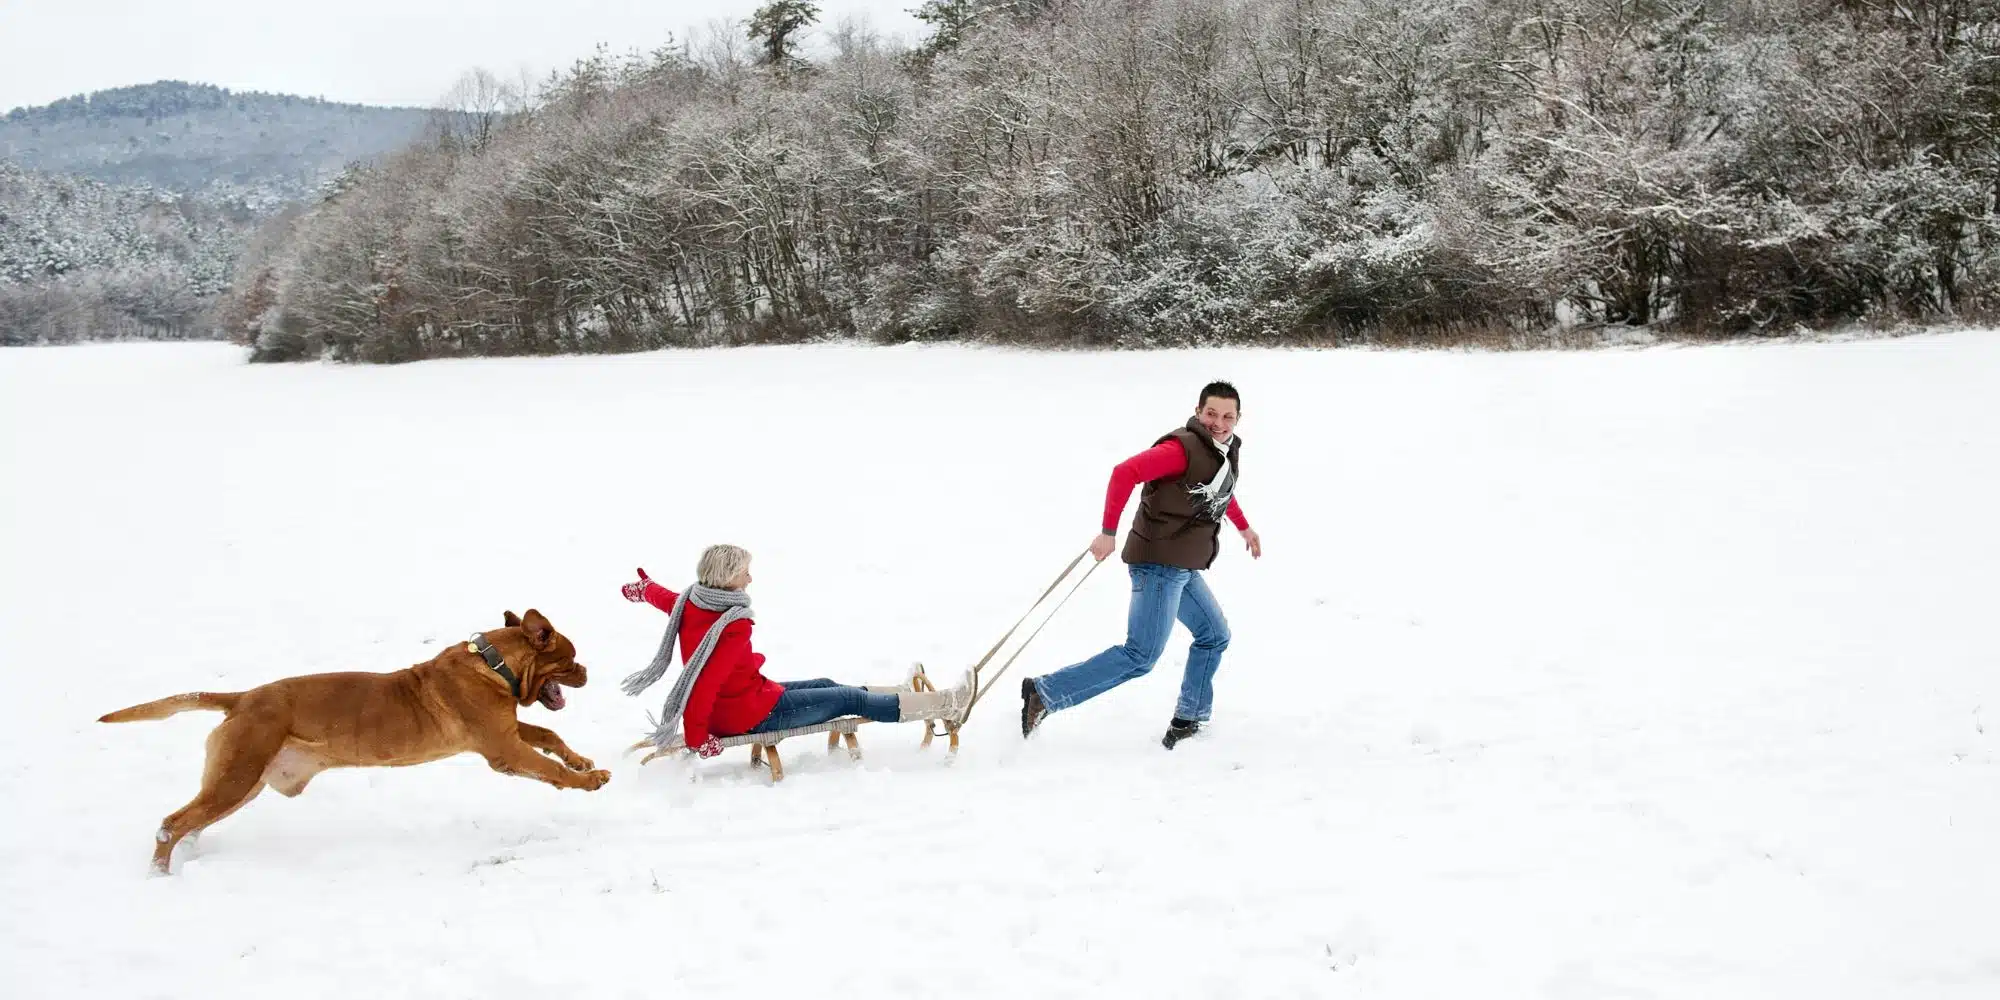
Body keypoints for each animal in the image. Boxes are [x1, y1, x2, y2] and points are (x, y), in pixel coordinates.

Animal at [97, 604, 608, 872]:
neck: (494, 664)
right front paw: (589, 779)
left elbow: (549, 733)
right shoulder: (503, 749)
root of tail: (241, 698)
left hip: (240, 783)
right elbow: (547, 766)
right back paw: (161, 874)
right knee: (172, 822)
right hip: (236, 775)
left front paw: (580, 760)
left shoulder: (508, 730)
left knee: (192, 822)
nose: (587, 670)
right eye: (570, 659)